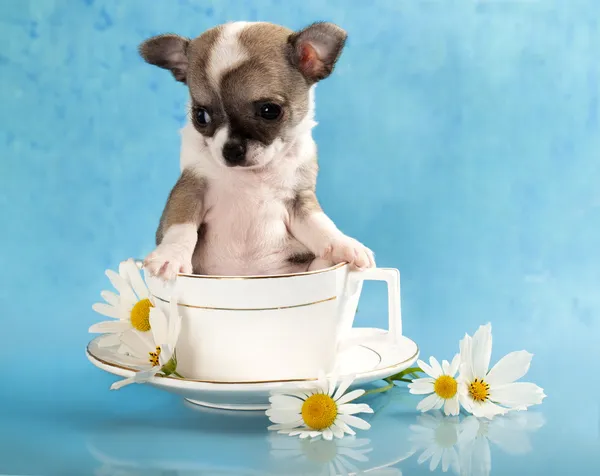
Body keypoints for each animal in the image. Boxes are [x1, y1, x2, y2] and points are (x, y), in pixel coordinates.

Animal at [141, 21, 376, 278]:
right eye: (200, 116)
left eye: (269, 111)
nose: (231, 150)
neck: (252, 176)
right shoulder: (191, 188)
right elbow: (181, 226)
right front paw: (170, 255)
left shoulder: (299, 201)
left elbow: (321, 224)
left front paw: (344, 244)